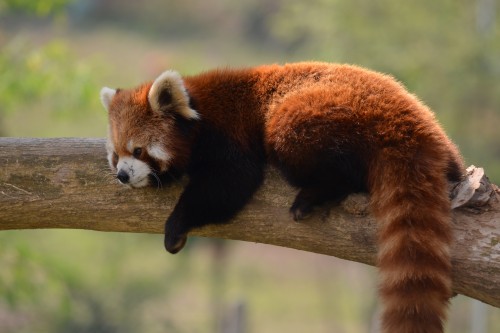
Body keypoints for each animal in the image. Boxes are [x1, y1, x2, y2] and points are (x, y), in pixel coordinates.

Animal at [100, 61, 464, 330]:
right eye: (116, 155)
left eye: (138, 150)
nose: (122, 175)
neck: (199, 111)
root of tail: (410, 125)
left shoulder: (229, 136)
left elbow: (229, 184)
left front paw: (175, 228)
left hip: (312, 116)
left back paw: (314, 195)